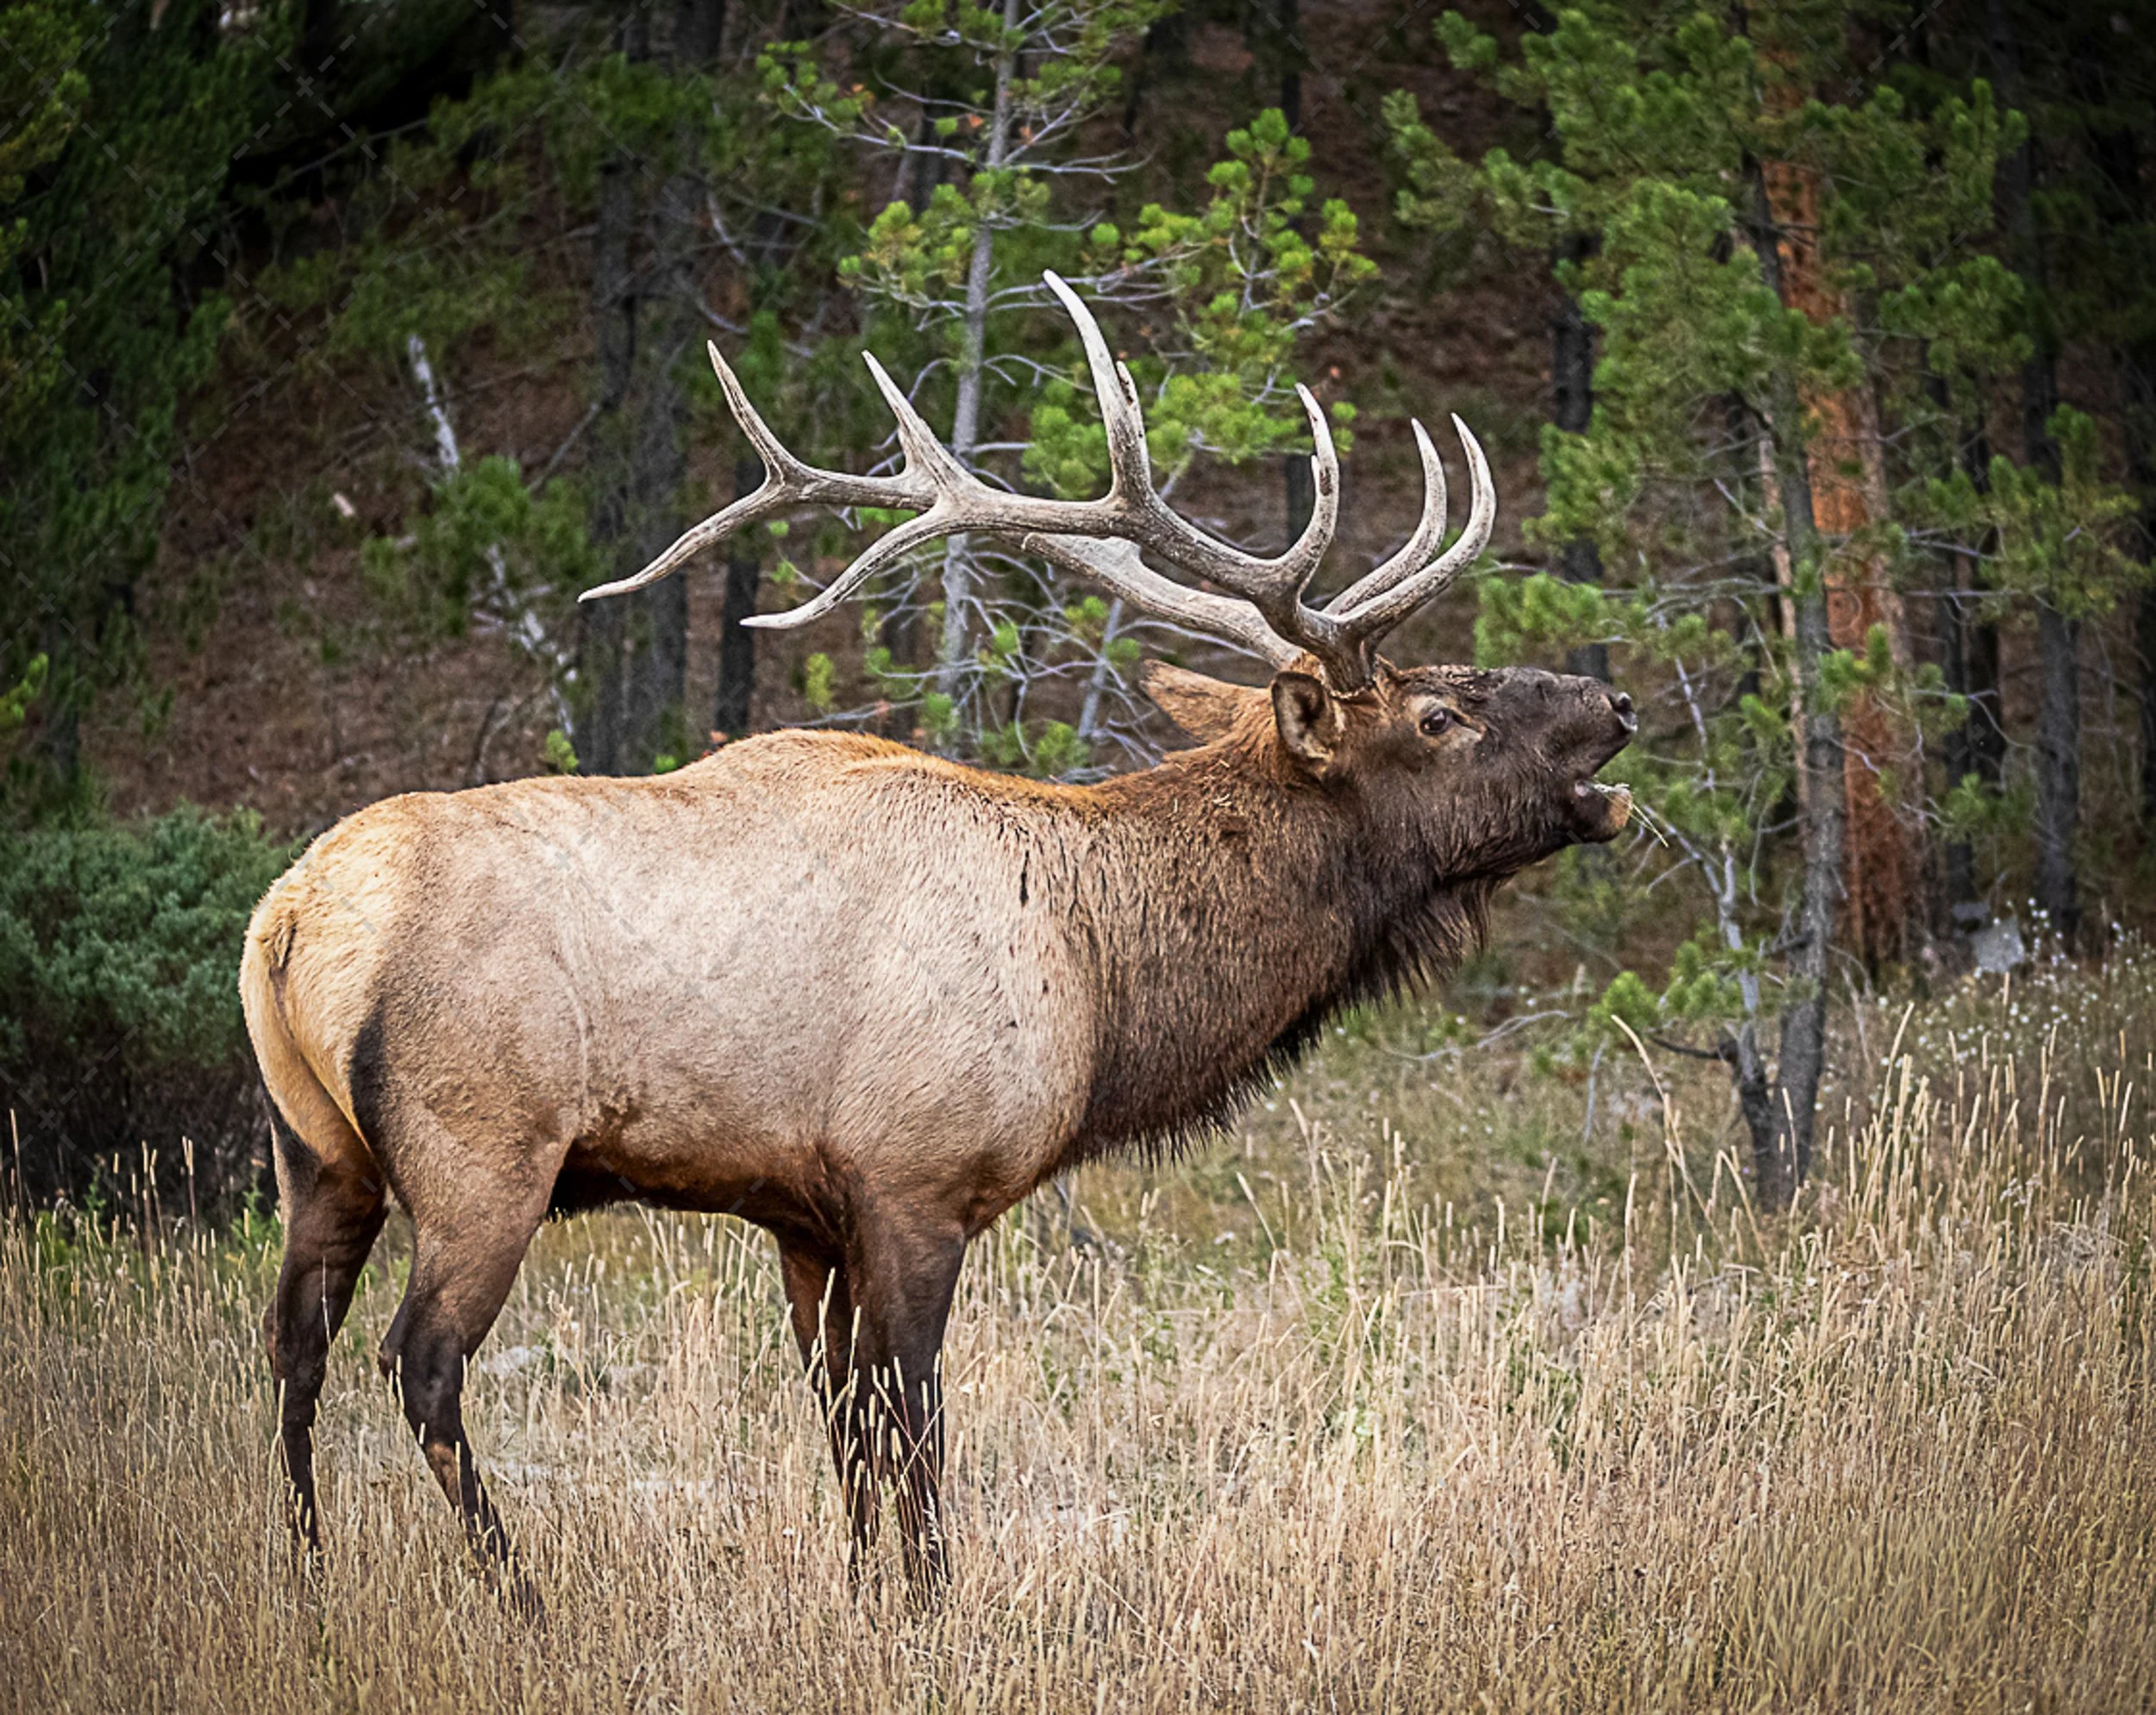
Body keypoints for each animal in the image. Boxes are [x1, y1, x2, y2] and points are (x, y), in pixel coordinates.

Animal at [240, 274, 1633, 1604]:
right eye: (1441, 716)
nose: (1614, 703)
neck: (1103, 983)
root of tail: (290, 919)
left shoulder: (803, 1215)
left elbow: (845, 1428)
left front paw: (868, 1596)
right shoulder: (913, 1181)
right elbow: (915, 1426)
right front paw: (931, 1608)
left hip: (316, 1153)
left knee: (291, 1350)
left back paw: (307, 1578)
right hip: (484, 1151)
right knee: (418, 1362)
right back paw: (517, 1593)